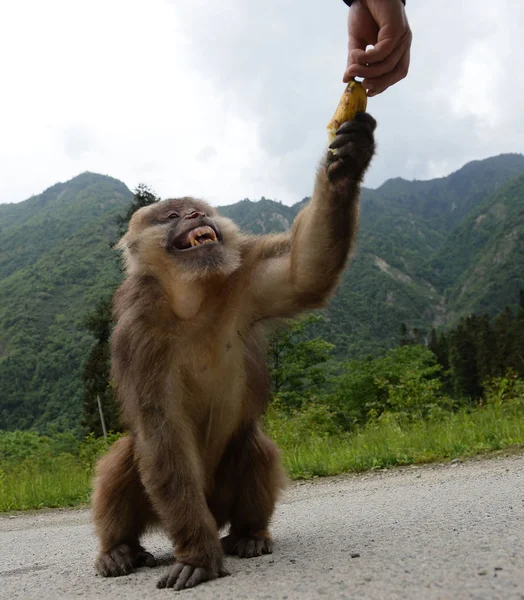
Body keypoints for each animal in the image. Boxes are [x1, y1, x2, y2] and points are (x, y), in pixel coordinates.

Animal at [91, 111, 376, 592]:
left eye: (200, 211)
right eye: (172, 214)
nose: (193, 215)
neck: (192, 299)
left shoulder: (244, 277)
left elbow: (304, 274)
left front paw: (348, 160)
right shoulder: (136, 334)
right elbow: (160, 429)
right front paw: (198, 553)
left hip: (221, 498)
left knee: (251, 442)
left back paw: (248, 534)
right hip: (173, 504)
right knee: (128, 454)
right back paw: (120, 547)